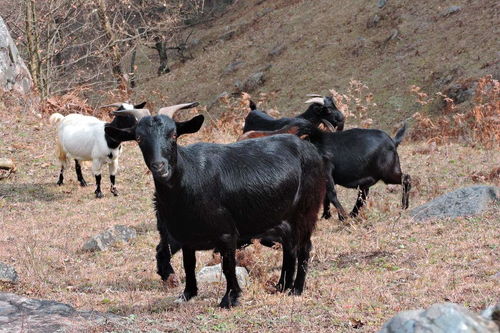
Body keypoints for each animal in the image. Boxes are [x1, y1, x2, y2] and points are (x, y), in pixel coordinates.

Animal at [105, 103, 324, 306]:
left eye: (174, 134)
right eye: (139, 138)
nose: (160, 167)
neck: (190, 176)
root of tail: (310, 149)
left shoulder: (227, 233)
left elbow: (227, 266)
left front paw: (230, 298)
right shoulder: (185, 236)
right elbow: (188, 264)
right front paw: (187, 294)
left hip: (306, 211)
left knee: (304, 247)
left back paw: (296, 289)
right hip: (283, 218)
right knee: (289, 248)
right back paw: (281, 286)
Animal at [241, 121, 410, 220]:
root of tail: (393, 141)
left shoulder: (327, 171)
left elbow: (330, 194)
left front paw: (342, 217)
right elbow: (325, 197)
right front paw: (327, 216)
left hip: (388, 172)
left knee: (406, 178)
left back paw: (404, 206)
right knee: (363, 195)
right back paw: (353, 213)